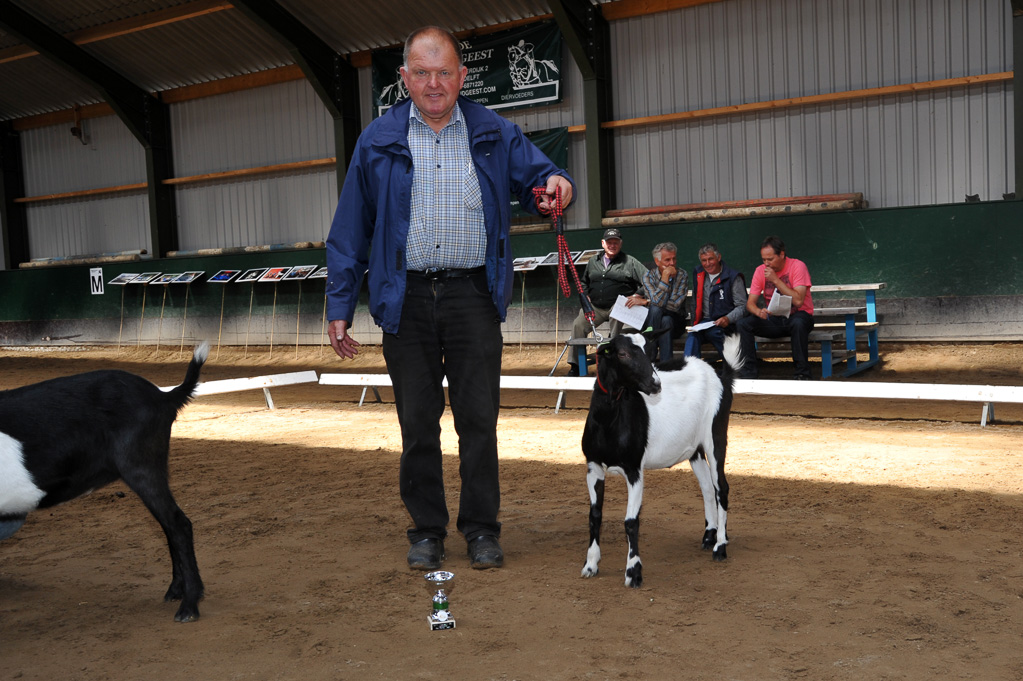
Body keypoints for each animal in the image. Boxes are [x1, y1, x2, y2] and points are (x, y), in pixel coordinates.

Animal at [0, 341, 209, 617]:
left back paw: (189, 605)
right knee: (168, 526)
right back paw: (175, 591)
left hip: (141, 465)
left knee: (178, 525)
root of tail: (163, 397)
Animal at [581, 329, 740, 584]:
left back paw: (720, 547)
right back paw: (709, 537)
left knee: (721, 487)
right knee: (707, 487)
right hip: (695, 448)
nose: (655, 384)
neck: (609, 422)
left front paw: (633, 572)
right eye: (623, 353)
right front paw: (591, 565)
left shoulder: (634, 469)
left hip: (715, 435)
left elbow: (631, 521)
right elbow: (594, 515)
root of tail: (721, 376)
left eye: (650, 351)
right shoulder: (593, 466)